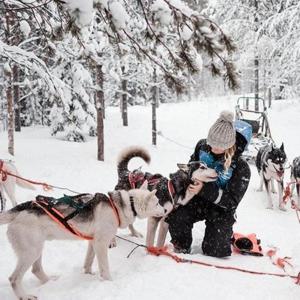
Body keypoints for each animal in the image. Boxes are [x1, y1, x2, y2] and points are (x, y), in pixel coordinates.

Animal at [0, 185, 164, 300]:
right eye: (157, 203)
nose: (164, 210)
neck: (122, 205)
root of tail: (20, 209)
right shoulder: (101, 243)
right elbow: (105, 269)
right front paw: (109, 282)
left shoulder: (93, 242)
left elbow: (88, 262)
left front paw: (88, 275)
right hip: (31, 252)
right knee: (14, 279)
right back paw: (24, 296)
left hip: (37, 249)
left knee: (36, 270)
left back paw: (50, 281)